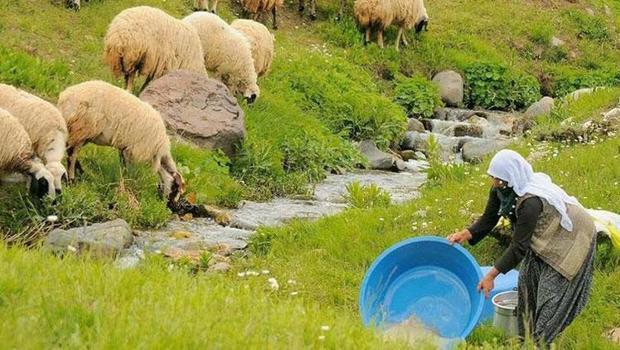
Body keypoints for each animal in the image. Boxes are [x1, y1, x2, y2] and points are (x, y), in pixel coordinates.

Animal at [57, 80, 185, 205]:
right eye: (176, 187)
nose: (171, 205)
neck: (158, 152)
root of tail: (65, 96)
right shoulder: (133, 150)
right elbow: (128, 170)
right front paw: (128, 183)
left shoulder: (125, 148)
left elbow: (123, 167)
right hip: (82, 127)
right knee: (72, 155)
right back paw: (71, 179)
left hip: (80, 132)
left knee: (69, 150)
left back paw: (79, 171)